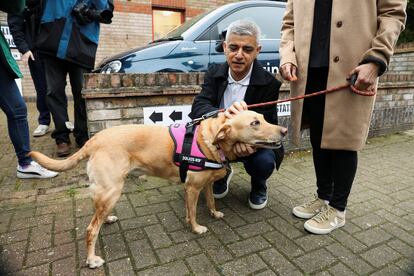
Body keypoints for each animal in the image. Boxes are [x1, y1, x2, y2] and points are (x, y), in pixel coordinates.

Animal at [29, 109, 288, 268]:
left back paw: (108, 219)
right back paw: (92, 259)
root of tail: (93, 140)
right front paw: (195, 228)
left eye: (263, 118)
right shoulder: (192, 188)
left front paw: (214, 213)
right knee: (91, 229)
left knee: (97, 216)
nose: (284, 131)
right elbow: (192, 212)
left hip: (106, 192)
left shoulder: (204, 185)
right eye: (255, 123)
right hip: (112, 190)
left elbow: (211, 201)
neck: (211, 141)